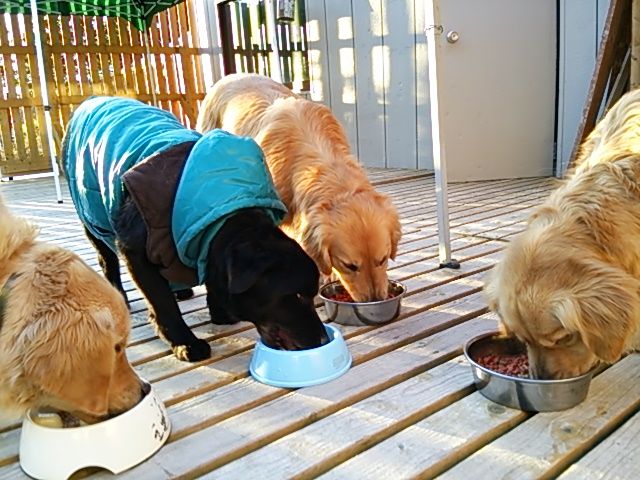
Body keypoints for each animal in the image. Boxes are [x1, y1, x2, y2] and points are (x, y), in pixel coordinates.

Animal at [62, 96, 328, 363]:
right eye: (296, 296)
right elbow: (162, 303)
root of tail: (91, 100)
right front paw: (184, 343)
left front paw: (219, 312)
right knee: (106, 259)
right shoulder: (134, 252)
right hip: (91, 217)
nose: (324, 340)